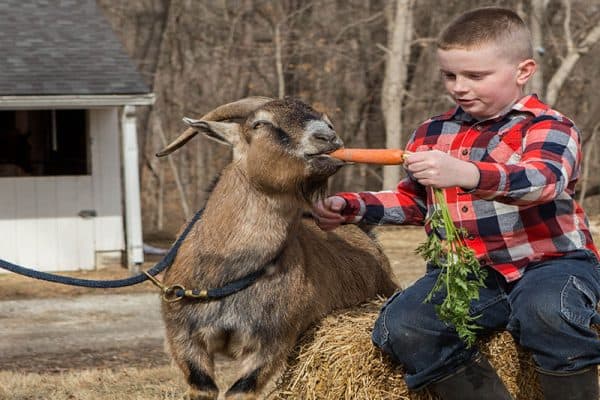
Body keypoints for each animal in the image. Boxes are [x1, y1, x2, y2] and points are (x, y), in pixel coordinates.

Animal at [157, 97, 396, 400]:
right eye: (260, 123)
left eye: (325, 119)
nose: (327, 137)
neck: (230, 276)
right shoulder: (183, 337)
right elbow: (203, 387)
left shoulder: (270, 344)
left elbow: (240, 391)